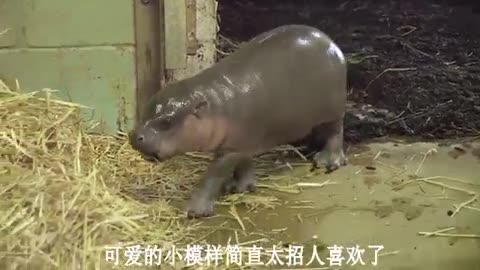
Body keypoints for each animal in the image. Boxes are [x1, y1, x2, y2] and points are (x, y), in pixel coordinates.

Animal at [131, 24, 346, 219]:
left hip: (334, 110)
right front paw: (241, 187)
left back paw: (327, 162)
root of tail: (330, 42)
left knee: (336, 131)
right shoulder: (244, 142)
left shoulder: (231, 149)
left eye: (167, 122)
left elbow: (213, 176)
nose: (134, 136)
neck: (212, 105)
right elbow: (245, 163)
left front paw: (195, 211)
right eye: (146, 107)